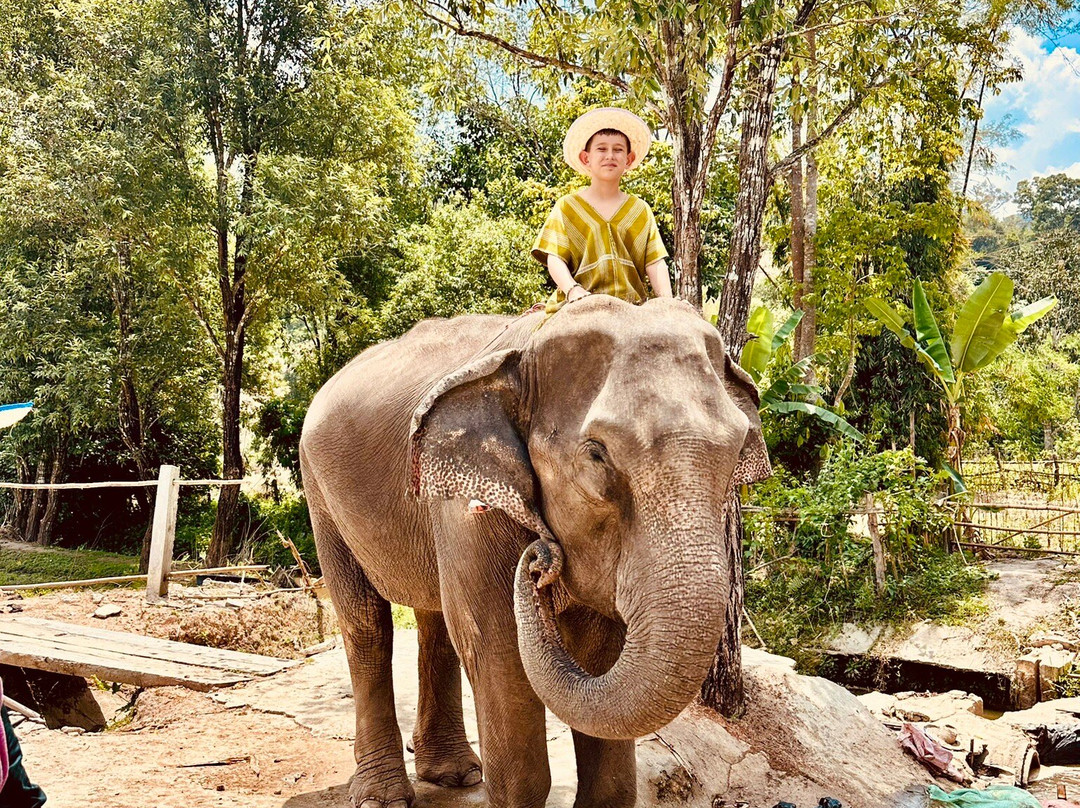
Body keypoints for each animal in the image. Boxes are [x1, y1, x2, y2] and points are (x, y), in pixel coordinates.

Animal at [299, 294, 770, 808]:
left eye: (737, 450)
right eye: (597, 454)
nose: (540, 558)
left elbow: (600, 654)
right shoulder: (466, 508)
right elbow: (494, 645)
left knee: (435, 619)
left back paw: (456, 774)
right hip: (320, 493)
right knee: (366, 623)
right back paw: (384, 796)